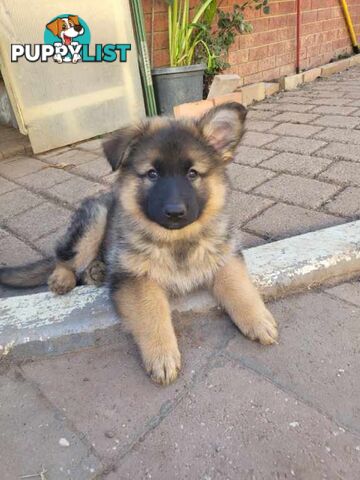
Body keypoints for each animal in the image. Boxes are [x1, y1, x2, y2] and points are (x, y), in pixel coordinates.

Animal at [0, 103, 278, 384]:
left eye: (192, 174)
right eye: (152, 174)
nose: (175, 212)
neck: (176, 240)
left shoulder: (226, 256)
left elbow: (239, 288)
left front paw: (258, 320)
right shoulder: (135, 279)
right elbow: (151, 313)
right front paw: (162, 356)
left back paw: (97, 271)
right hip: (95, 216)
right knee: (64, 256)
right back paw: (62, 278)